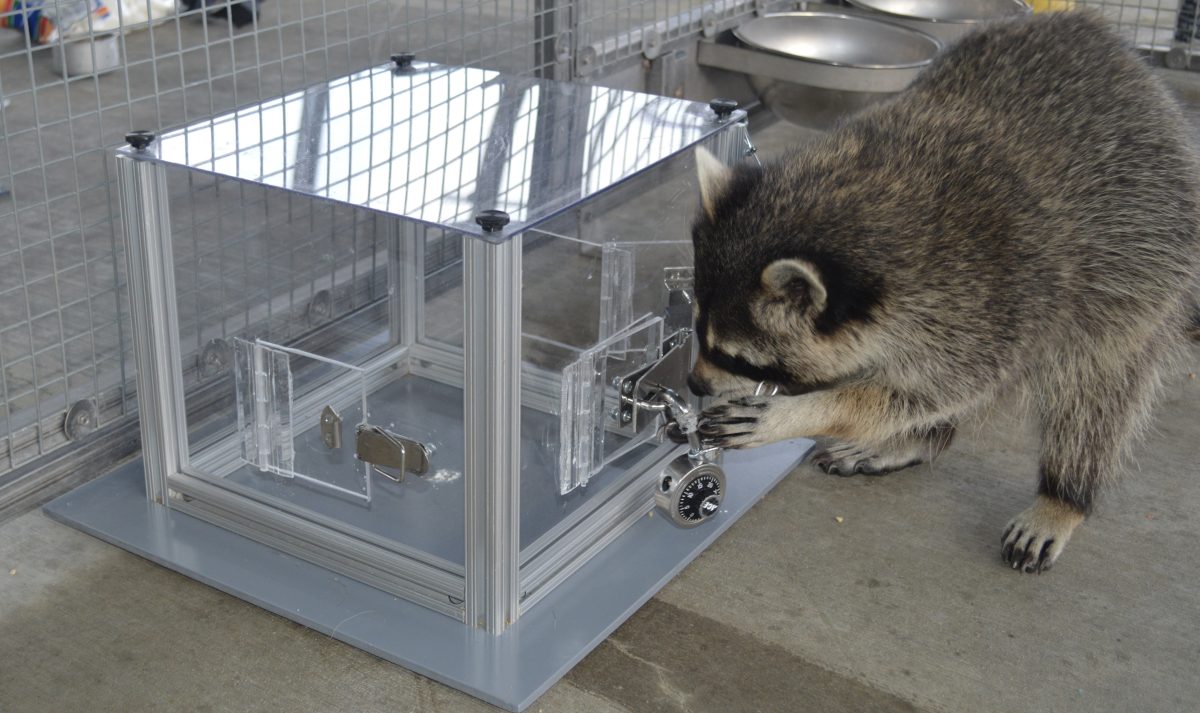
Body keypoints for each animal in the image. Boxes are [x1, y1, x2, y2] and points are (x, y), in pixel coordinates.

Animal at [688, 11, 1200, 573]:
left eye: (736, 356)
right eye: (698, 333)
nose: (693, 383)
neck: (865, 200)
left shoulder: (993, 301)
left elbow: (925, 391)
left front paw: (810, 411)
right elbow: (911, 390)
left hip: (1142, 270)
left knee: (1095, 390)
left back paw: (1063, 494)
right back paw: (921, 439)